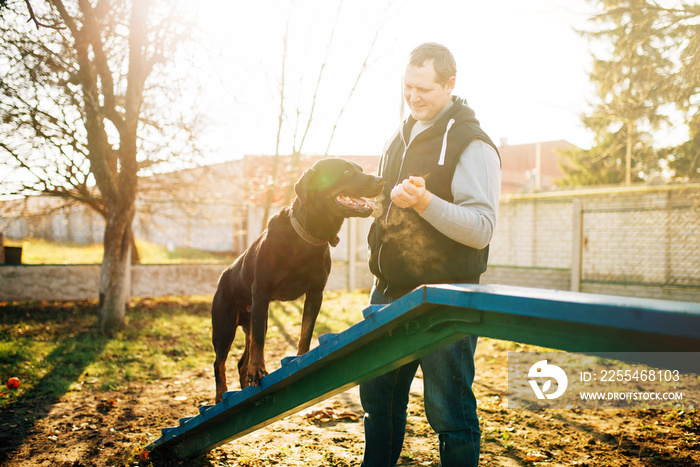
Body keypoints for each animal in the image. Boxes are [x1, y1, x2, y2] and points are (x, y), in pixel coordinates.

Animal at [212, 157, 382, 402]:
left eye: (359, 169)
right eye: (346, 172)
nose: (381, 180)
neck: (307, 238)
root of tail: (223, 276)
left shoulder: (315, 293)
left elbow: (306, 330)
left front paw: (302, 358)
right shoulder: (261, 292)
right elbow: (260, 343)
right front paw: (259, 369)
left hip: (253, 319)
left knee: (241, 361)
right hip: (226, 324)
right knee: (220, 362)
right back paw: (221, 396)